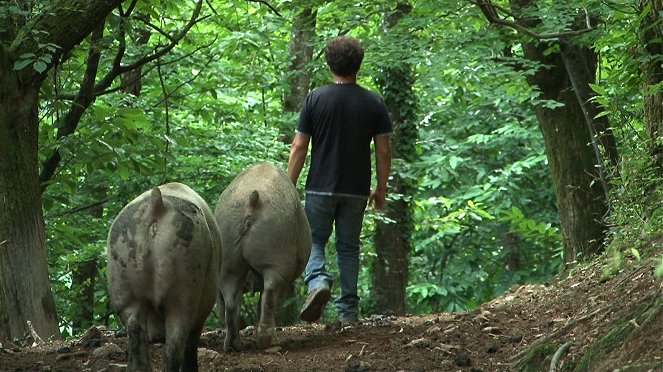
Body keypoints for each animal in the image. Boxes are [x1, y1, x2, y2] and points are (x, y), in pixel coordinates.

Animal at [217, 163, 312, 352]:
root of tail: (253, 200)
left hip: (227, 242)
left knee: (231, 299)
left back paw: (233, 346)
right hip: (277, 247)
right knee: (270, 292)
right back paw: (264, 341)